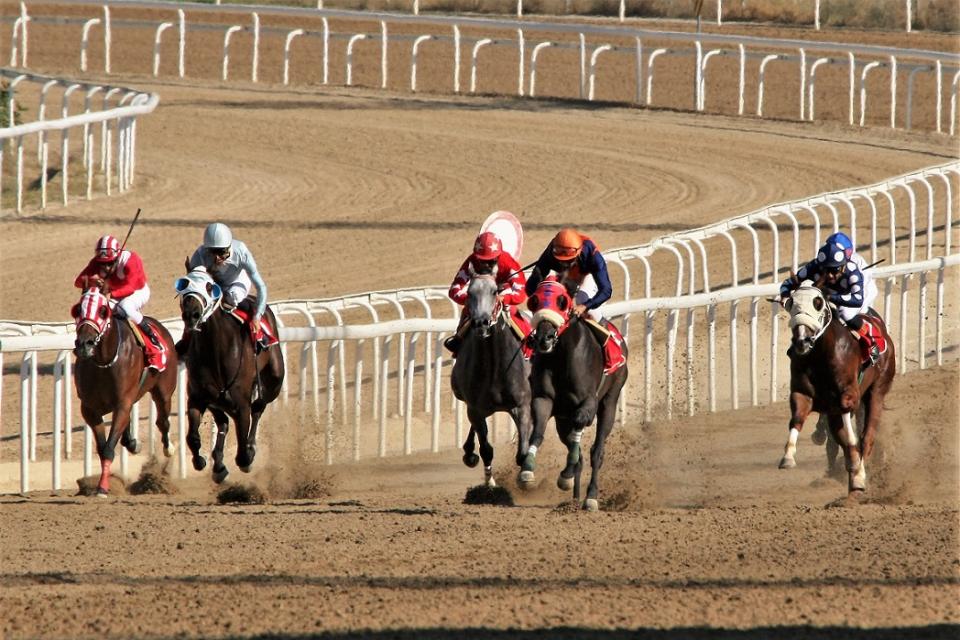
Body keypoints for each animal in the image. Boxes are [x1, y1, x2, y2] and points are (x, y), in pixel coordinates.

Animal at [71, 288, 178, 496]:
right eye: (78, 309)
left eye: (103, 311)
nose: (85, 344)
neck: (104, 362)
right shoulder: (89, 409)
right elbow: (103, 447)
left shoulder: (122, 403)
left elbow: (108, 449)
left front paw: (102, 488)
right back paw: (133, 443)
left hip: (163, 391)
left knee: (162, 421)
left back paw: (169, 449)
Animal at [174, 268, 284, 482]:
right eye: (184, 284)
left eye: (209, 286)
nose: (191, 315)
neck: (215, 351)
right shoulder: (198, 398)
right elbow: (192, 437)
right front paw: (203, 462)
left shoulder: (241, 406)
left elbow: (242, 454)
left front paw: (248, 455)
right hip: (216, 400)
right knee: (223, 422)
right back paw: (218, 464)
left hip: (274, 379)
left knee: (258, 407)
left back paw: (250, 446)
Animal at [448, 268, 532, 484]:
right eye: (470, 293)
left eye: (495, 292)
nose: (482, 323)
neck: (495, 367)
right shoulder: (475, 408)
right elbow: (486, 449)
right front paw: (489, 482)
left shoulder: (521, 405)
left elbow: (522, 452)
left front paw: (525, 475)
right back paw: (469, 452)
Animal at [520, 278, 628, 512]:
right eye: (534, 301)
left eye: (562, 302)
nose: (544, 338)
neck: (562, 355)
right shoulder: (544, 400)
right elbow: (538, 432)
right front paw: (527, 470)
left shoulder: (588, 402)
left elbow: (580, 425)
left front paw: (567, 474)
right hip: (562, 418)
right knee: (571, 442)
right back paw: (576, 496)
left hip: (610, 400)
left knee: (597, 451)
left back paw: (590, 497)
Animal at [776, 278, 896, 492]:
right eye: (791, 304)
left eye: (818, 304)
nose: (802, 342)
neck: (820, 355)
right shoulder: (803, 393)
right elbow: (797, 418)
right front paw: (788, 457)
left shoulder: (849, 395)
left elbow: (850, 431)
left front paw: (856, 463)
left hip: (878, 389)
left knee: (867, 437)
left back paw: (859, 475)